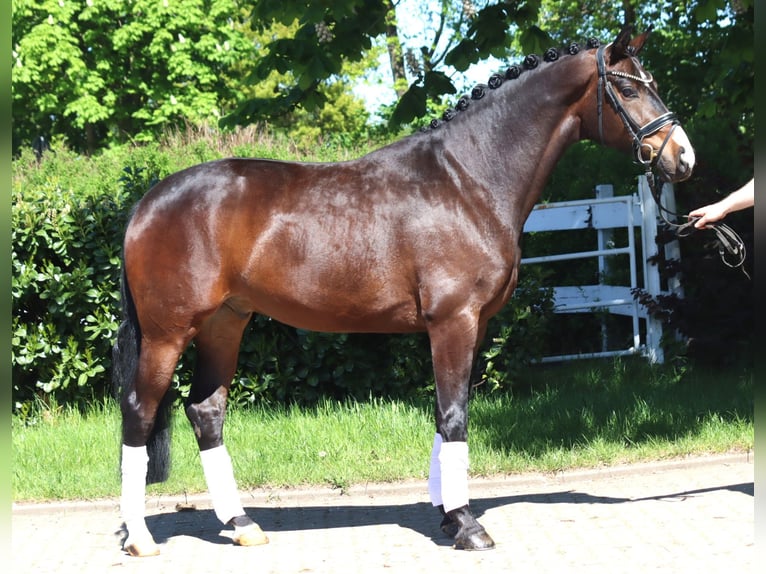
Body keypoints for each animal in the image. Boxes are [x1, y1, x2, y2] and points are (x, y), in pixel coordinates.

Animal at [113, 25, 695, 556]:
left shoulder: (471, 324)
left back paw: (242, 525)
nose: (683, 158)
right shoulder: (453, 321)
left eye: (651, 83)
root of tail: (147, 202)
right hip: (169, 333)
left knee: (206, 411)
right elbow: (454, 415)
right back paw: (140, 537)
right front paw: (467, 526)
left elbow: (445, 413)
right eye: (629, 88)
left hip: (225, 323)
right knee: (139, 411)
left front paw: (447, 514)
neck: (468, 180)